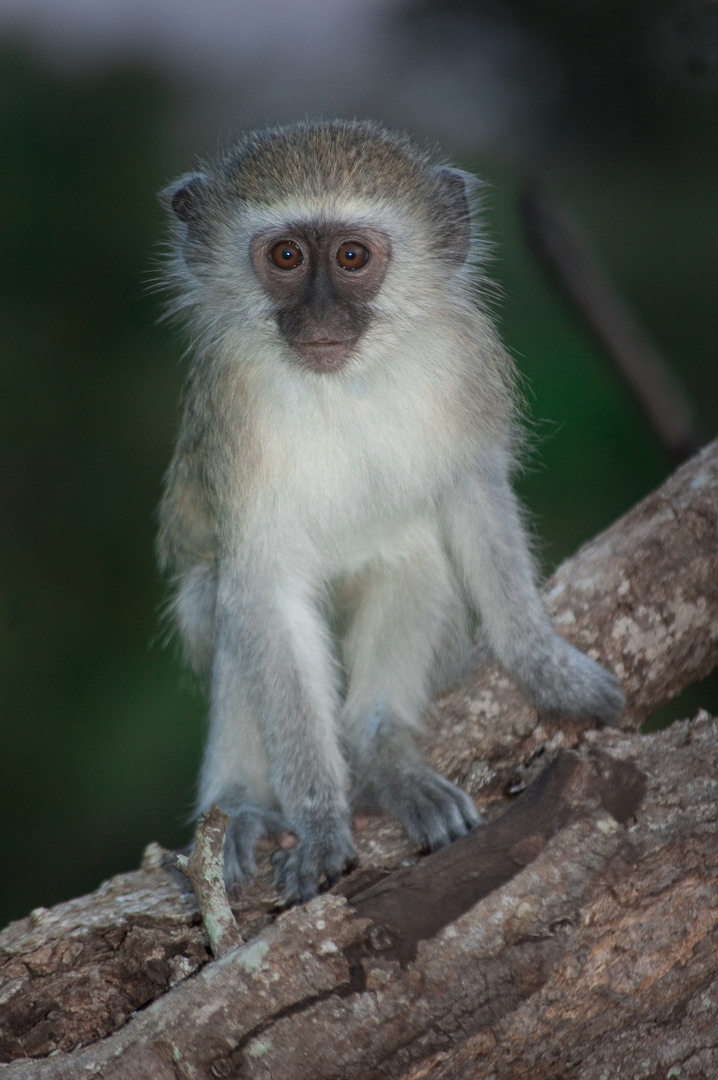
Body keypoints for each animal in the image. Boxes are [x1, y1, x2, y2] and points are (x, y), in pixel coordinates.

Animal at [156, 118, 621, 902]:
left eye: (351, 257)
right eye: (286, 256)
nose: (318, 315)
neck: (344, 381)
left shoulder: (461, 365)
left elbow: (472, 496)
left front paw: (544, 667)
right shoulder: (232, 407)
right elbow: (263, 593)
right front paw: (317, 822)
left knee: (417, 557)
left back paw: (381, 756)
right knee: (226, 602)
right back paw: (241, 805)